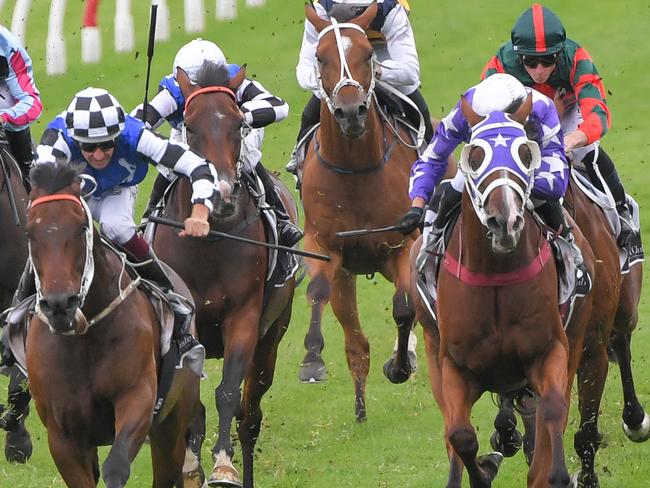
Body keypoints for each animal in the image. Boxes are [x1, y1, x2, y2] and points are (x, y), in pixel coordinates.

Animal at [23, 162, 200, 486]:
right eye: (30, 232)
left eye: (81, 226)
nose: (59, 304)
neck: (83, 338)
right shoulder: (63, 436)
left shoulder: (138, 397)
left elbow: (116, 466)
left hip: (172, 421)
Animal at [152, 63, 296, 486]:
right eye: (189, 126)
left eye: (238, 124)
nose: (222, 196)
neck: (209, 240)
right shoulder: (190, 323)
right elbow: (192, 407)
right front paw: (191, 464)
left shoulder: (244, 316)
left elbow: (228, 393)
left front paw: (223, 465)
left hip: (271, 337)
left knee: (250, 418)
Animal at [296, 0, 418, 422]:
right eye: (320, 56)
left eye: (367, 54)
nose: (351, 112)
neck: (355, 169)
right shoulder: (324, 244)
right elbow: (317, 291)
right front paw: (312, 361)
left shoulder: (402, 245)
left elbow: (404, 308)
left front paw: (400, 365)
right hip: (349, 276)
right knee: (355, 341)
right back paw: (361, 406)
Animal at [416, 96, 592, 488]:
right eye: (475, 156)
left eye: (526, 154)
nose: (505, 222)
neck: (494, 275)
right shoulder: (454, 367)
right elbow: (461, 435)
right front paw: (483, 469)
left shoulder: (550, 351)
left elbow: (553, 409)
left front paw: (558, 473)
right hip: (432, 348)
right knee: (453, 432)